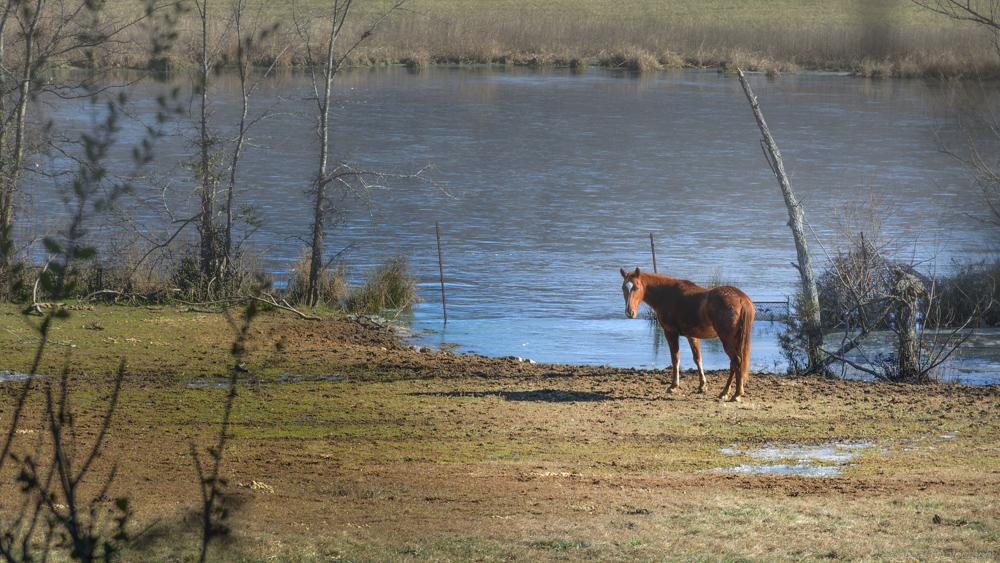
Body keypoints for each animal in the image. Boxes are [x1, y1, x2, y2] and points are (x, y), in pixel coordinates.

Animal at [616, 268, 756, 400]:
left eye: (637, 287)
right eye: (623, 287)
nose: (629, 312)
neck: (666, 294)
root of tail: (741, 299)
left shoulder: (671, 333)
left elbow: (675, 359)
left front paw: (673, 386)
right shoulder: (692, 335)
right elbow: (697, 359)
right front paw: (702, 386)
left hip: (727, 339)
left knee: (736, 361)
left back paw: (736, 393)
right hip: (736, 339)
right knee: (734, 364)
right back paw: (725, 392)